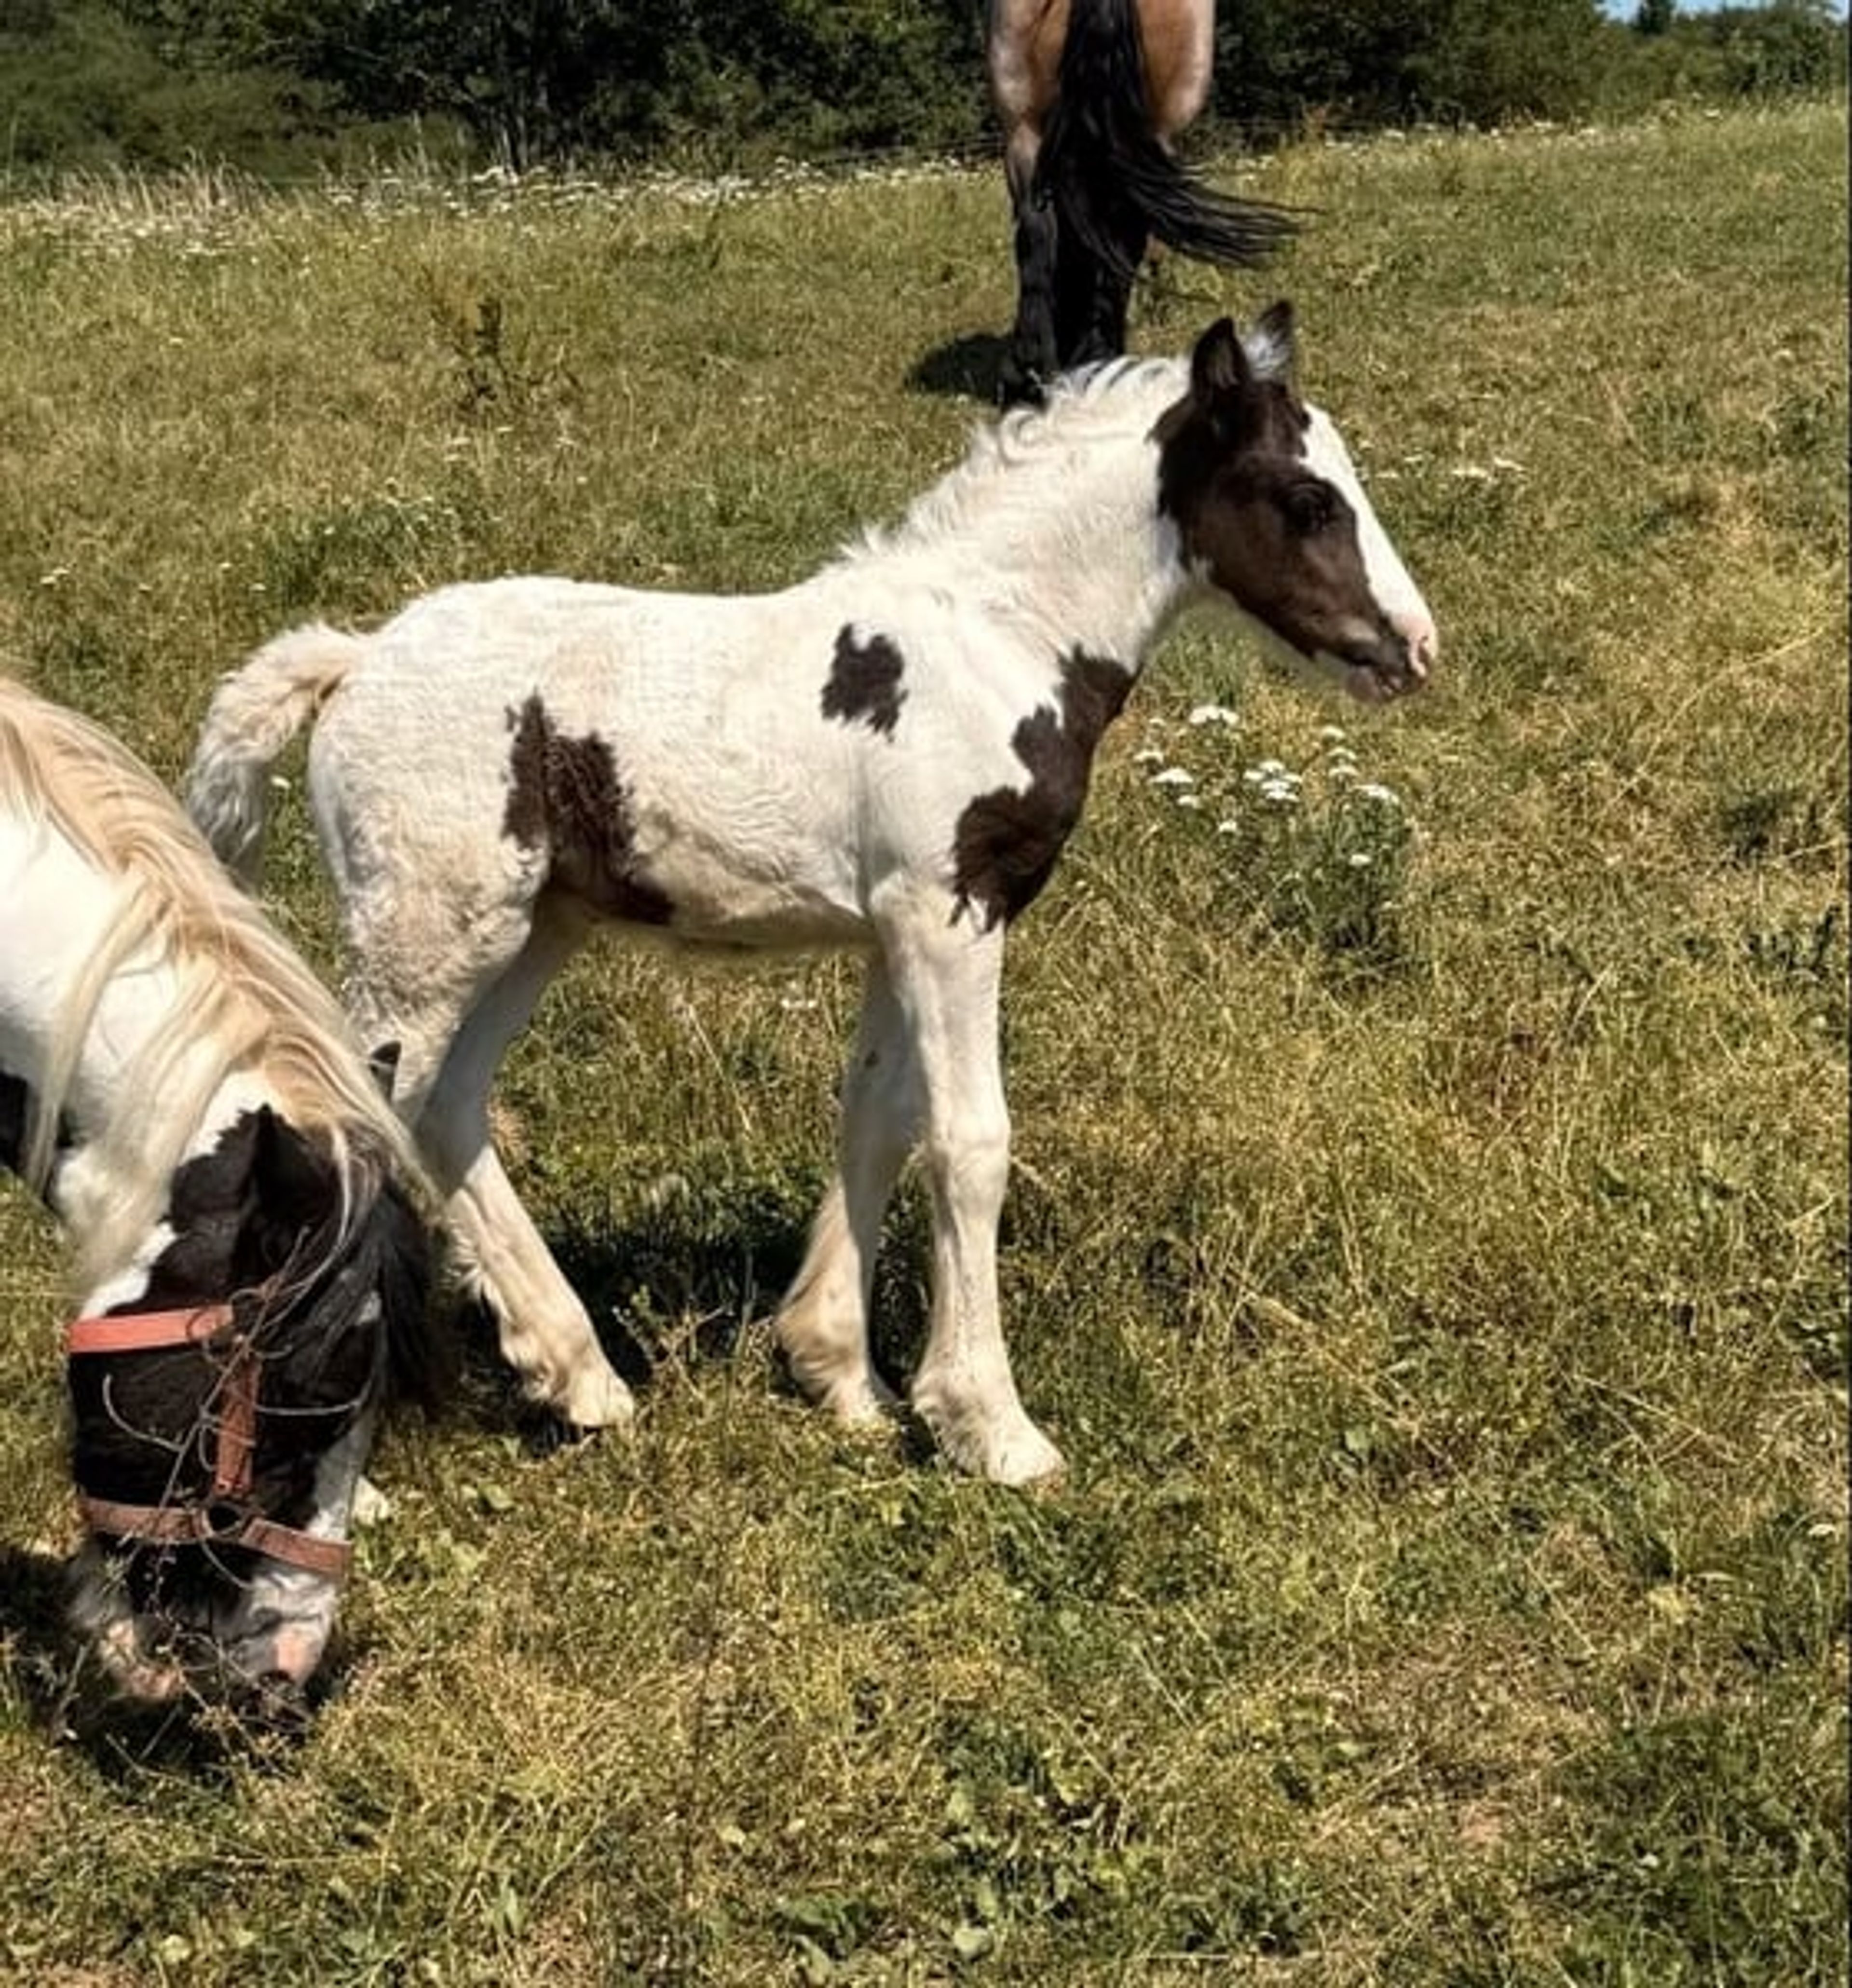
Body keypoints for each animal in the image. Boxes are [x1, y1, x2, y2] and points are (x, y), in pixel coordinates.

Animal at [186, 307, 1435, 1489]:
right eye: (1307, 498)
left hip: (527, 930)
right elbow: (970, 1140)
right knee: (341, 1115)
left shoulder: (897, 924)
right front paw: (993, 1427)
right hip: (428, 934)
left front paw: (843, 1376)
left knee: (442, 1110)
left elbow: (878, 1117)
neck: (991, 645)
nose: (1415, 647)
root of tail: (354, 660)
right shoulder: (951, 910)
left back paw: (577, 1374)